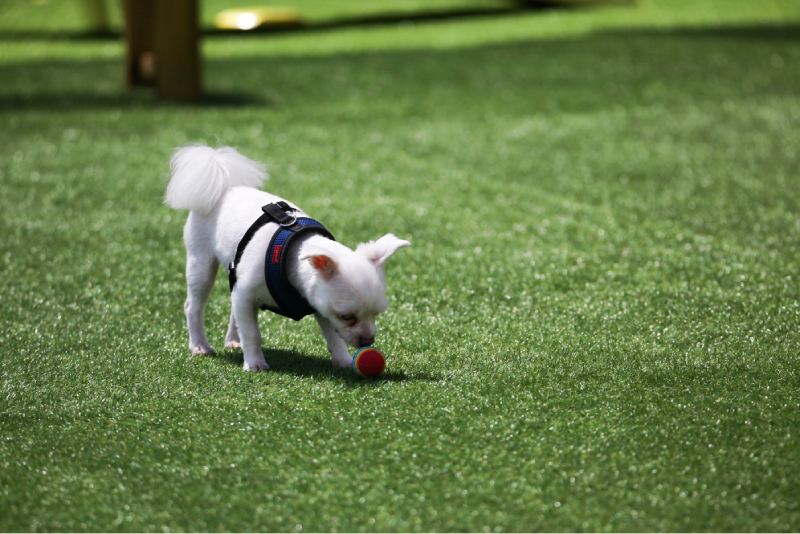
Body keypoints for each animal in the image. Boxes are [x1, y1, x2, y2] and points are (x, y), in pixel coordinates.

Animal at [165, 146, 410, 372]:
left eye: (377, 314)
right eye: (346, 316)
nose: (368, 341)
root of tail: (225, 188)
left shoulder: (320, 305)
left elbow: (334, 337)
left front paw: (343, 361)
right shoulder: (246, 295)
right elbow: (252, 333)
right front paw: (255, 364)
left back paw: (233, 341)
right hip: (201, 263)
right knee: (193, 306)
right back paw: (199, 346)